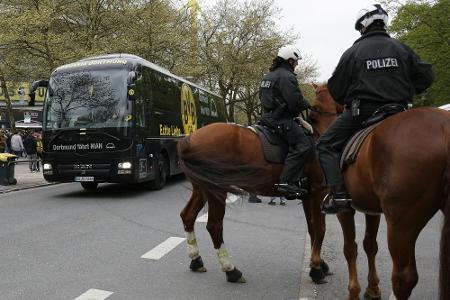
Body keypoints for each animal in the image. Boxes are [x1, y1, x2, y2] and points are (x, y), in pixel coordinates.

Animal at [177, 121, 330, 284]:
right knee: (214, 226)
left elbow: (312, 228)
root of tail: (189, 139)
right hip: (216, 190)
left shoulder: (308, 196)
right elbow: (320, 229)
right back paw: (231, 270)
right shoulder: (319, 192)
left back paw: (196, 260)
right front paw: (317, 269)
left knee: (188, 216)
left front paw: (319, 263)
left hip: (202, 188)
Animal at [310, 82, 450, 300]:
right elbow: (370, 245)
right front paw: (373, 289)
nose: (316, 145)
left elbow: (350, 248)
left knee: (403, 277)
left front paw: (354, 291)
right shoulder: (372, 210)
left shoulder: (345, 210)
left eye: (314, 109)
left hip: (402, 221)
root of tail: (443, 129)